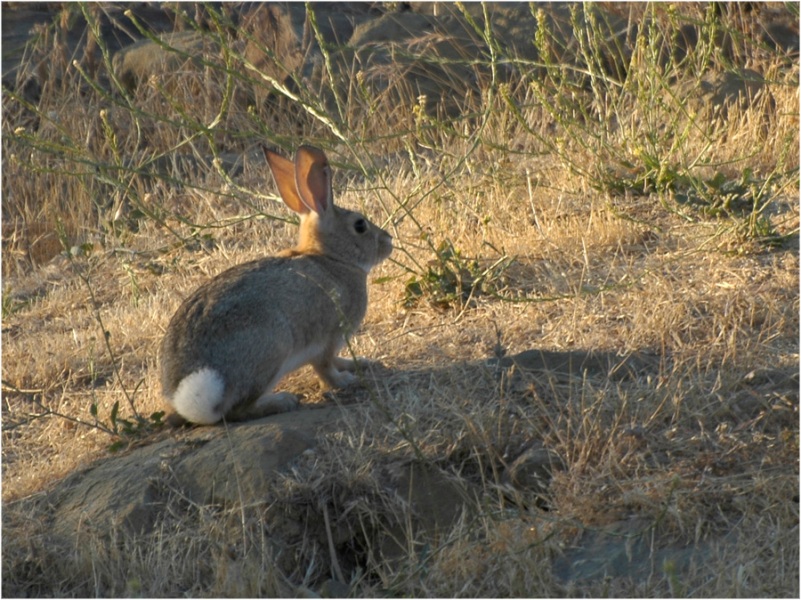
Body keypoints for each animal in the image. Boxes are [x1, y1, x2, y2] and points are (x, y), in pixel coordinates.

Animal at [158, 144, 392, 426]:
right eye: (360, 225)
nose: (388, 241)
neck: (332, 258)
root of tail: (192, 399)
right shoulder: (328, 337)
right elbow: (325, 367)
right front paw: (345, 380)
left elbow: (336, 359)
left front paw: (358, 364)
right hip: (273, 347)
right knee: (237, 410)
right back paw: (282, 401)